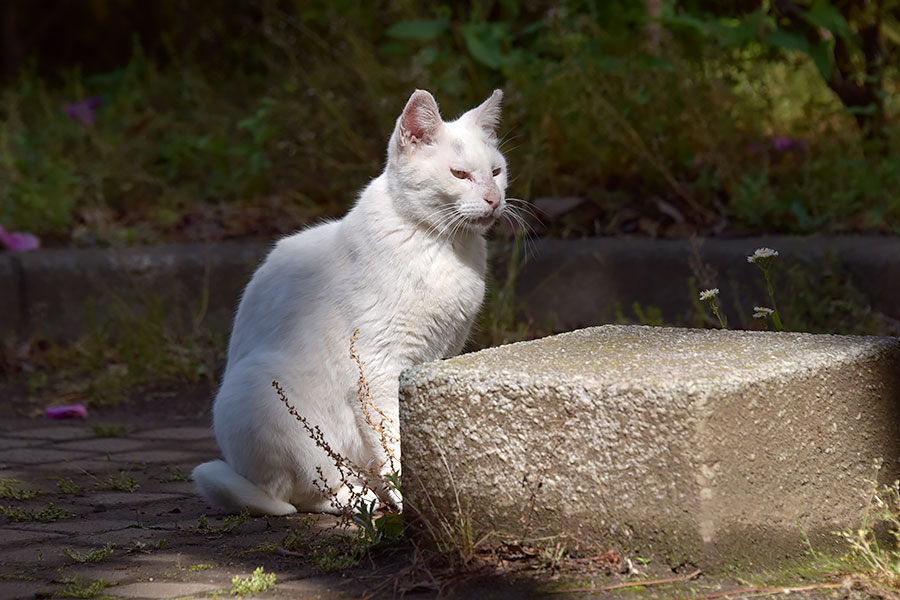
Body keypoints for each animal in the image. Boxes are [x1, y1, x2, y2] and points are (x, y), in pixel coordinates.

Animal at [193, 89, 510, 516]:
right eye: (459, 174)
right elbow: (393, 437)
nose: (494, 199)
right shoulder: (379, 366)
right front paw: (407, 496)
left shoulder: (438, 355)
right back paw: (364, 499)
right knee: (306, 491)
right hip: (264, 396)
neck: (443, 246)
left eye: (496, 171)